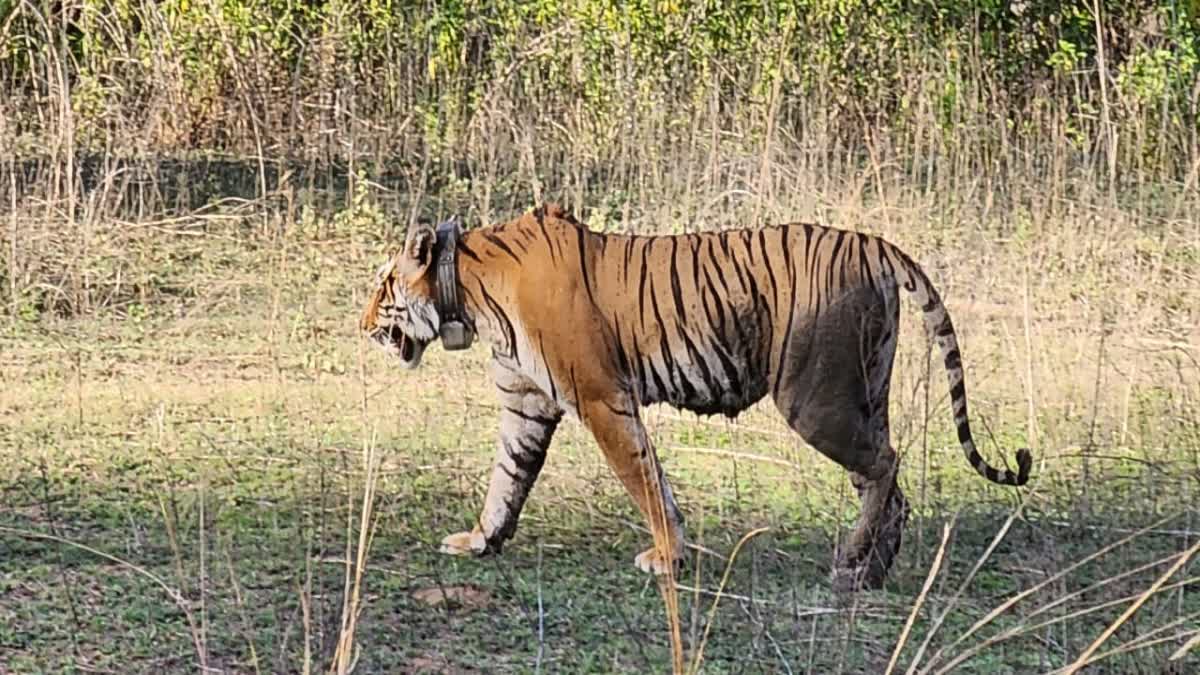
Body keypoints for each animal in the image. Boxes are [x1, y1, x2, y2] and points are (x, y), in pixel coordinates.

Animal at [362, 201, 1032, 586]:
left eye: (383, 288)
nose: (362, 325)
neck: (467, 293)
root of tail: (875, 243)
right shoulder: (527, 403)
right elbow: (507, 477)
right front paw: (480, 541)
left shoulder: (602, 398)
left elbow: (644, 479)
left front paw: (666, 557)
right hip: (864, 392)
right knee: (885, 480)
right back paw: (871, 569)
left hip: (816, 398)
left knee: (885, 467)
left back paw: (851, 564)